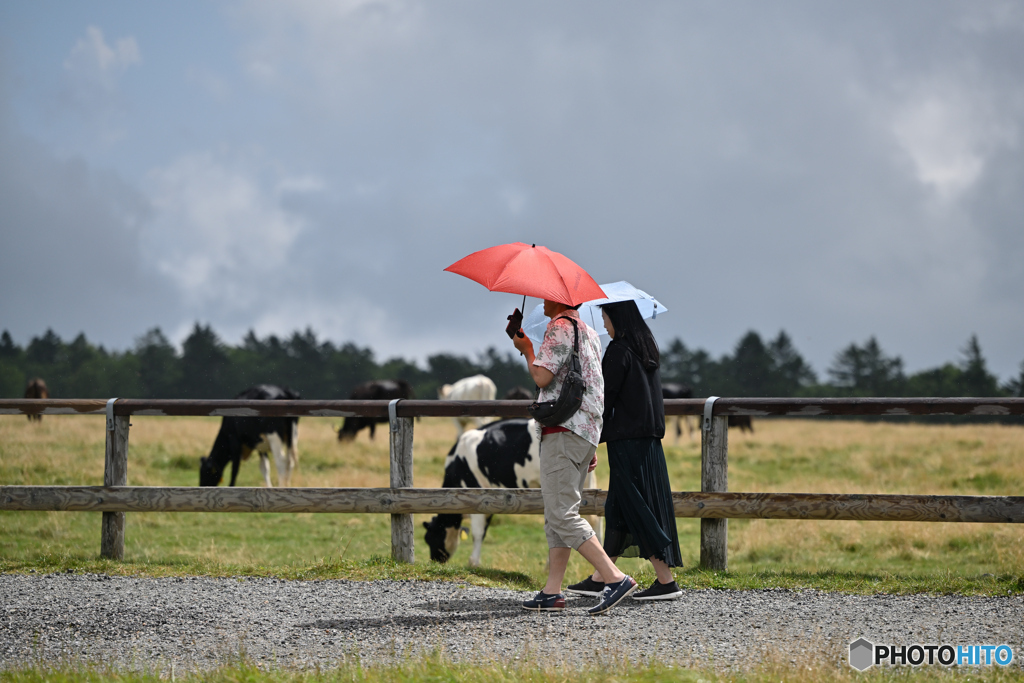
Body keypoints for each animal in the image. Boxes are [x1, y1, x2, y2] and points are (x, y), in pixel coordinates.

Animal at [421, 419, 598, 569]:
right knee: (594, 519)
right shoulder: (488, 501)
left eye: (429, 538)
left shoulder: (476, 493)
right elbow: (483, 532)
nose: (434, 561)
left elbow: (477, 533)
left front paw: (473, 563)